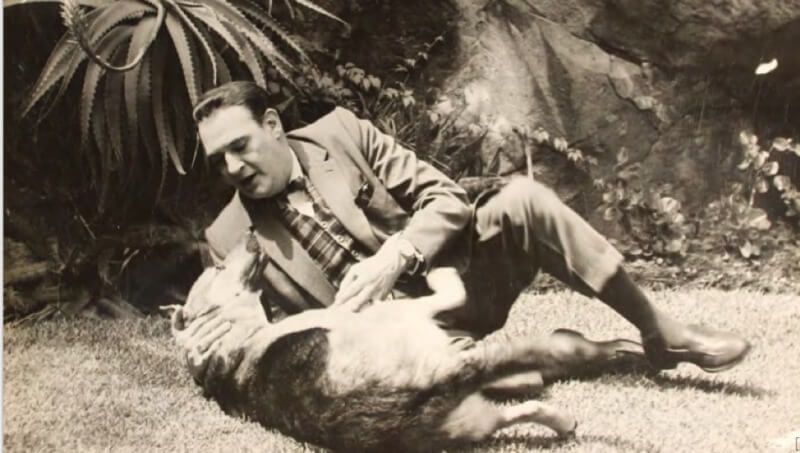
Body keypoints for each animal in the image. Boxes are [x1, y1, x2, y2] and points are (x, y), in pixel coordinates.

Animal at [168, 233, 646, 452]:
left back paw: (562, 420)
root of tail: (417, 395)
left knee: (522, 408)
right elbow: (452, 296)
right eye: (216, 271)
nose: (251, 235)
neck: (236, 340)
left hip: (473, 418)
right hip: (410, 326)